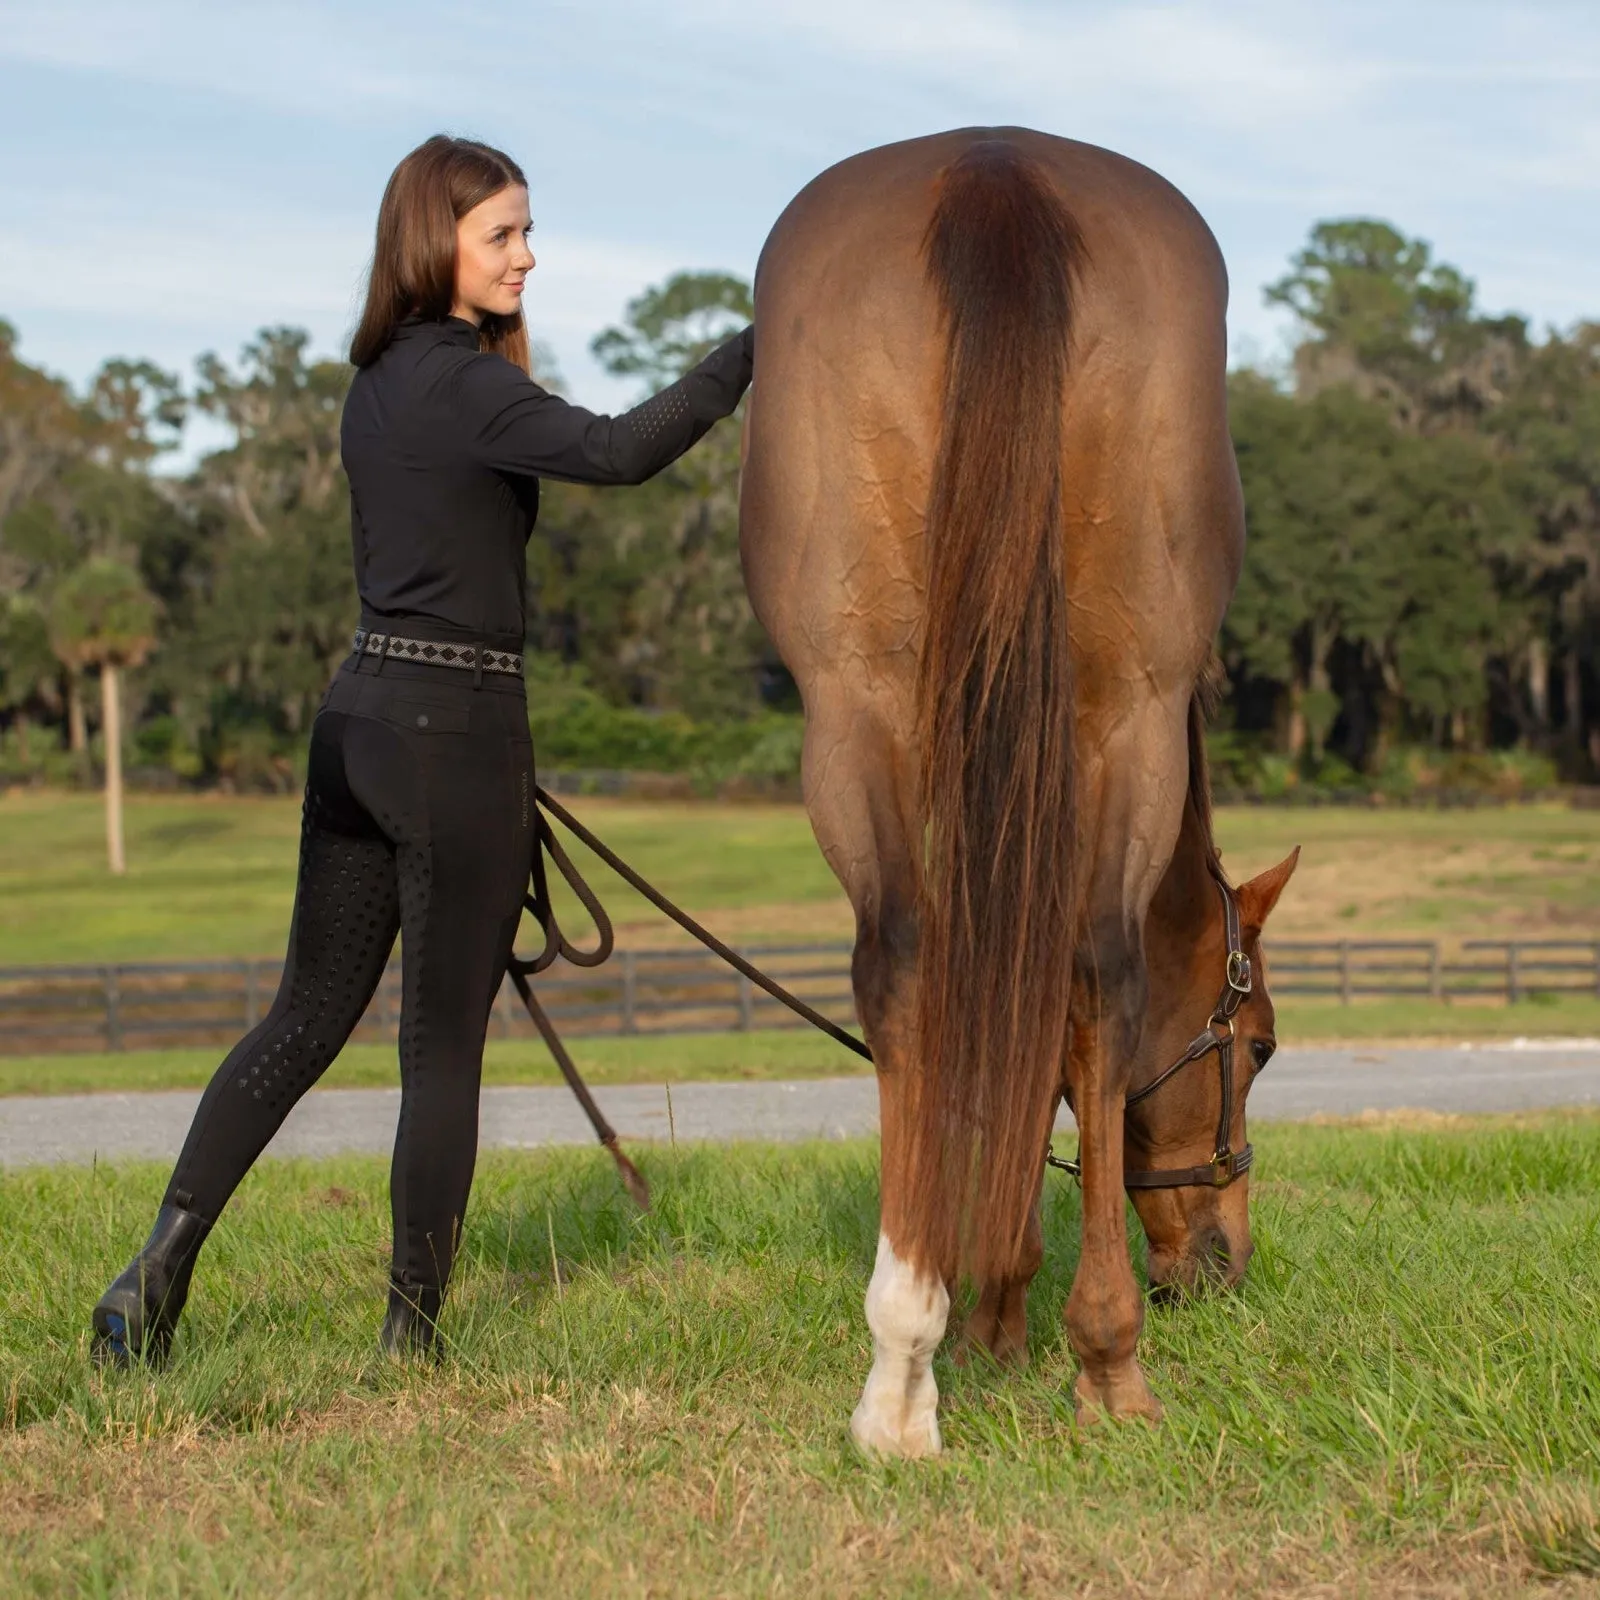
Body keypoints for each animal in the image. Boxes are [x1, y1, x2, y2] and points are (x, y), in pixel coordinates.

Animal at [736, 131, 1299, 1459]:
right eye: (1256, 1043)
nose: (1224, 1260)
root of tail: (995, 164)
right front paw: (1015, 1311)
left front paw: (980, 1309)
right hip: (1123, 713)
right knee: (1090, 978)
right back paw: (1099, 1359)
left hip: (858, 706)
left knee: (912, 967)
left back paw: (907, 1370)